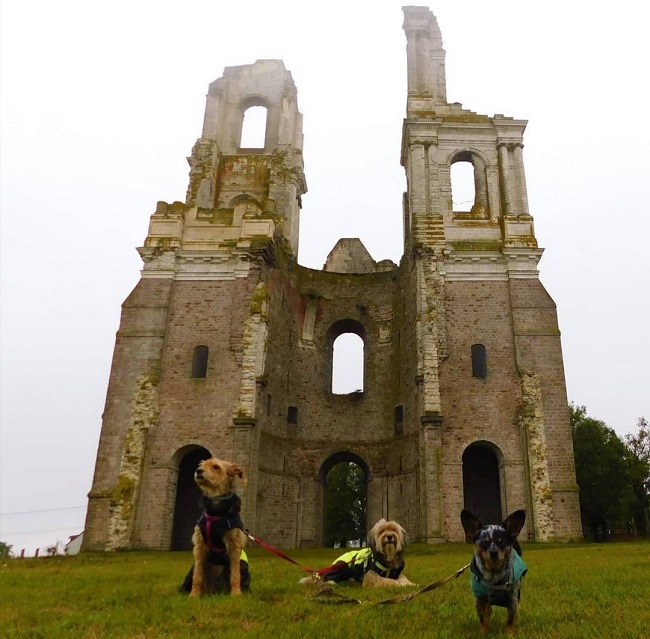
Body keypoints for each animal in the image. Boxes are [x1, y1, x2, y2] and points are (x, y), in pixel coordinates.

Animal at [180, 458, 251, 596]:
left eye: (216, 467)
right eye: (201, 465)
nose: (198, 471)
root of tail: (215, 590)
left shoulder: (234, 546)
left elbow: (235, 574)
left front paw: (236, 594)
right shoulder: (200, 546)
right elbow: (198, 576)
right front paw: (194, 595)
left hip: (243, 564)